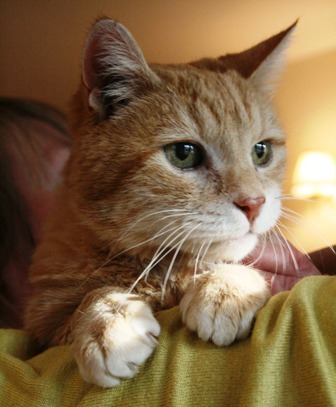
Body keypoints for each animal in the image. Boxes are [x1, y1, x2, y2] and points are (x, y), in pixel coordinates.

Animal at [25, 19, 296, 388]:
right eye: (183, 153)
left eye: (261, 151)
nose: (254, 202)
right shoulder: (41, 334)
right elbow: (88, 299)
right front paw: (105, 318)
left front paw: (226, 285)